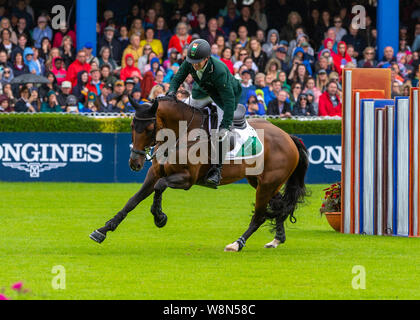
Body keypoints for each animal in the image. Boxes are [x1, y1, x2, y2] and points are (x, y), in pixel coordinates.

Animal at [90, 96, 308, 251]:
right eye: (132, 126)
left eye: (150, 127)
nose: (135, 163)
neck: (180, 134)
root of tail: (287, 136)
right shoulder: (154, 174)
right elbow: (133, 201)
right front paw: (103, 230)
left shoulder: (186, 179)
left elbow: (160, 186)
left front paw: (159, 217)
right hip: (261, 181)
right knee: (279, 205)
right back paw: (277, 239)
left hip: (267, 184)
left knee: (260, 216)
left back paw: (237, 243)